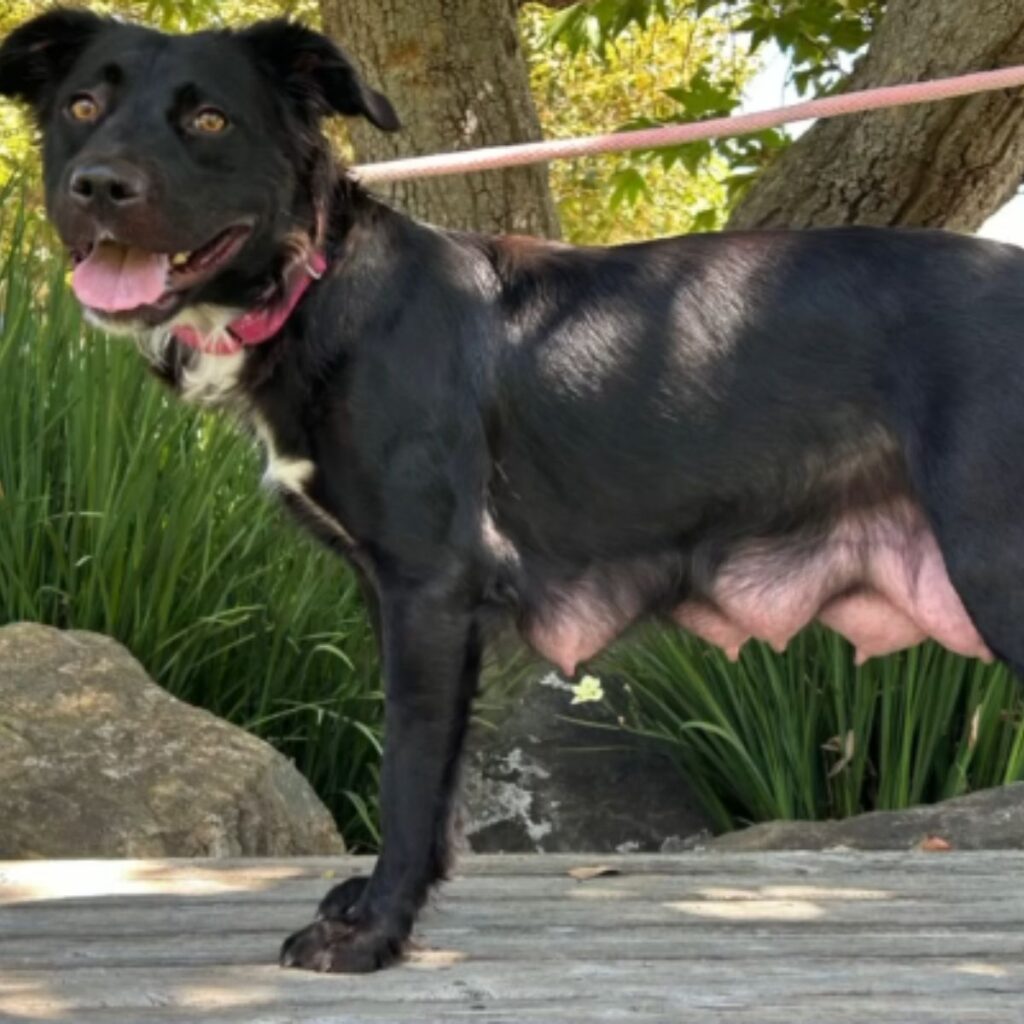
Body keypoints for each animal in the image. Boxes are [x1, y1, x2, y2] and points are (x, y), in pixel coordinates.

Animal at [4, 6, 1019, 966]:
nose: (97, 186)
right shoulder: (399, 595)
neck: (327, 290)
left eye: (209, 118)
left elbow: (410, 774)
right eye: (81, 108)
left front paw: (374, 934)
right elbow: (439, 788)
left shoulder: (431, 587)